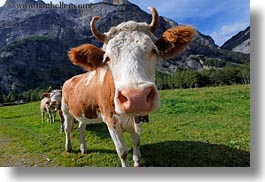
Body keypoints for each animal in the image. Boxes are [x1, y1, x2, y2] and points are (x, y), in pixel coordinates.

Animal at [60, 7, 195, 166]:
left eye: (153, 50)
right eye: (107, 58)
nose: (136, 97)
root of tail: (71, 79)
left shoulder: (138, 119)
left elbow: (136, 142)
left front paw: (137, 161)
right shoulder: (110, 120)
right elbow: (122, 152)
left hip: (83, 111)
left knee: (81, 127)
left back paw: (83, 148)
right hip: (65, 109)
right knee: (67, 128)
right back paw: (68, 147)